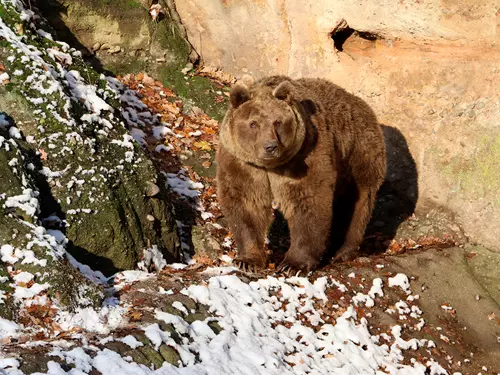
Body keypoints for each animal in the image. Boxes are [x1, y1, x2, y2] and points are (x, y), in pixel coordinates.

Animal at [216, 75, 386, 276]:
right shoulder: (243, 163)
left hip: (359, 155)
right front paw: (248, 260)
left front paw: (293, 265)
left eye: (277, 122)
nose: (270, 146)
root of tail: (363, 105)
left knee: (357, 204)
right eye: (253, 123)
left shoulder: (304, 155)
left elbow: (308, 202)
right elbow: (246, 203)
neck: (271, 165)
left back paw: (342, 252)